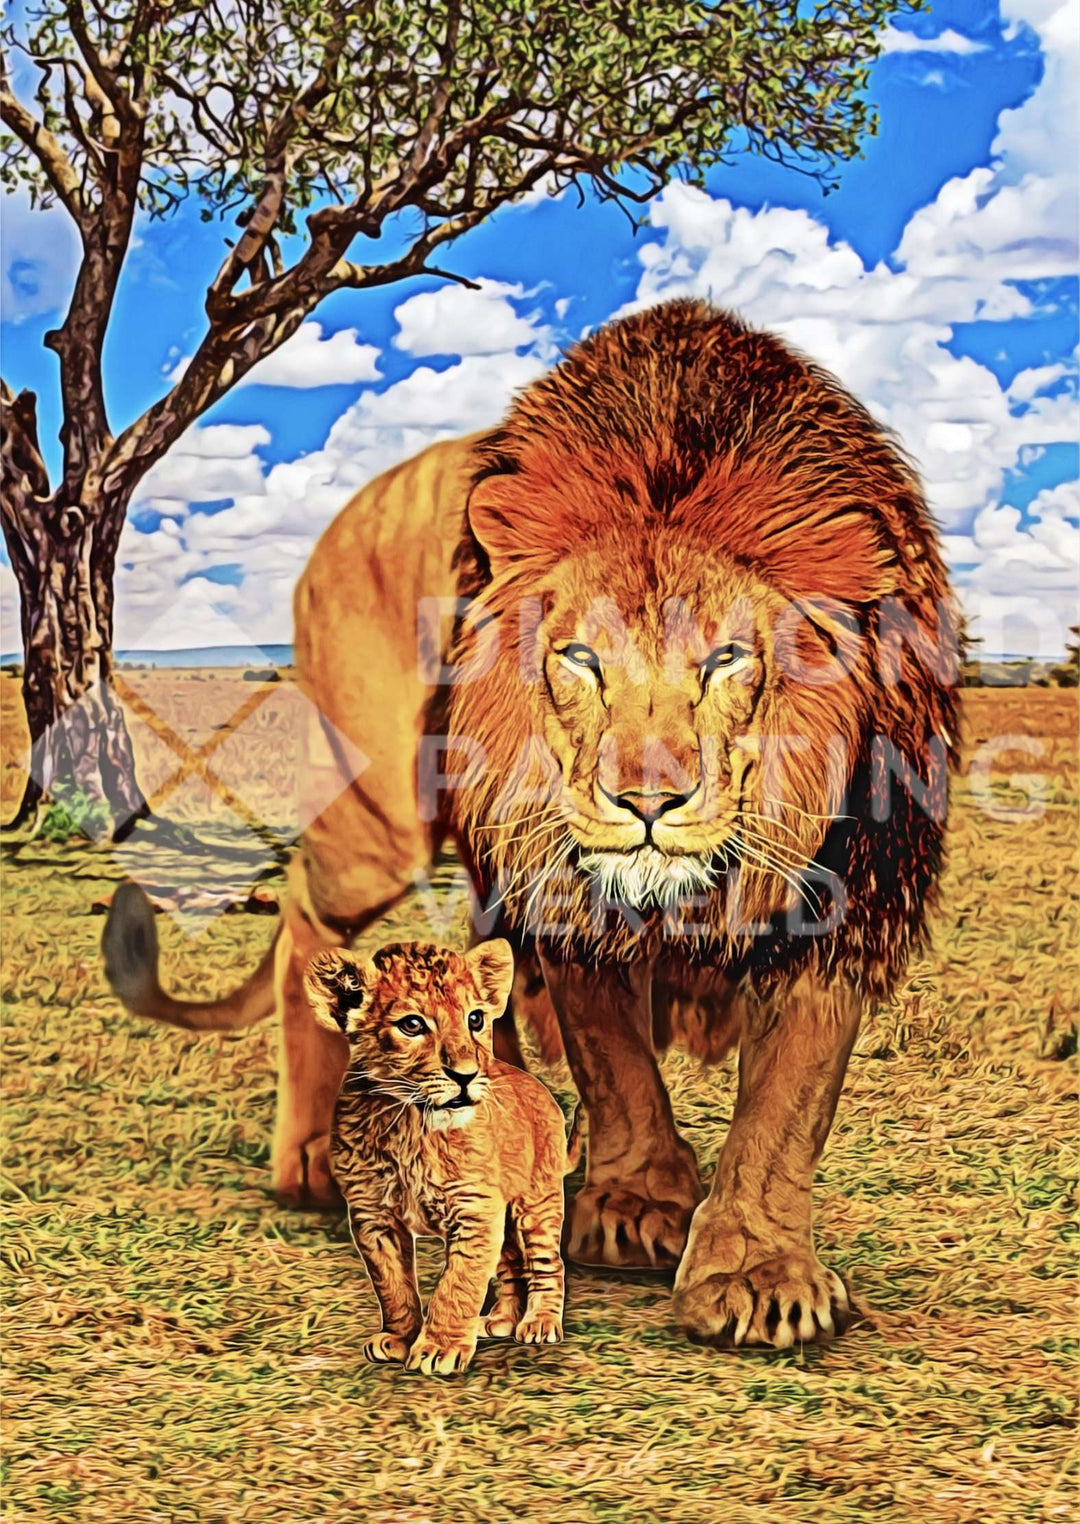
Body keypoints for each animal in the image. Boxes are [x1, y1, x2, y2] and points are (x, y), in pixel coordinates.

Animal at [304, 937, 579, 1374]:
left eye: (476, 1019)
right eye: (412, 1025)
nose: (466, 1075)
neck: (409, 1123)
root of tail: (538, 1084)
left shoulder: (474, 1209)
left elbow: (459, 1283)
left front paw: (439, 1348)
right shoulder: (372, 1215)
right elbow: (393, 1285)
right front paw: (400, 1339)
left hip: (537, 1202)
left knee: (547, 1262)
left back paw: (540, 1323)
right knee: (510, 1263)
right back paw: (500, 1321)